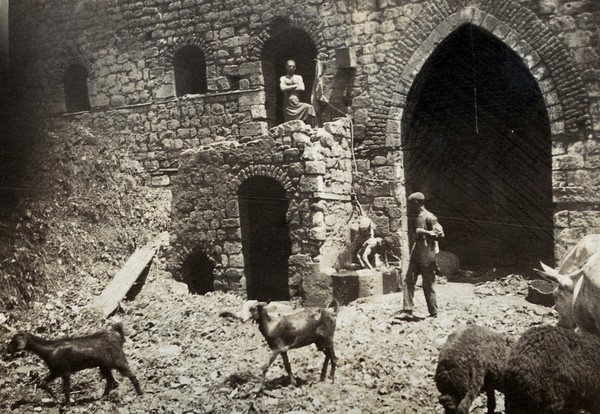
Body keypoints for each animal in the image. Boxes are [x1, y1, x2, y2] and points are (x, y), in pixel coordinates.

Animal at [5, 322, 143, 406]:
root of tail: (119, 340)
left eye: (14, 341)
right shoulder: (55, 371)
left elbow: (66, 389)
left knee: (131, 375)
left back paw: (140, 393)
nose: (6, 349)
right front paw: (56, 399)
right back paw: (102, 398)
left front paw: (67, 405)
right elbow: (42, 383)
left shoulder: (65, 371)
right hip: (104, 366)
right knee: (110, 380)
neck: (49, 350)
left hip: (118, 360)